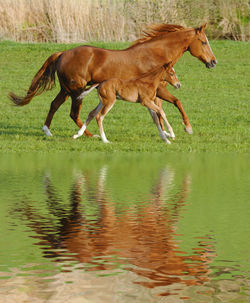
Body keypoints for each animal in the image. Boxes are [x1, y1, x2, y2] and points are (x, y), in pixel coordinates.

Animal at [9, 23, 217, 138]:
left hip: (67, 90)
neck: (154, 56)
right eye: (204, 42)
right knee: (75, 113)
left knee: (55, 105)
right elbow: (174, 103)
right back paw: (90, 135)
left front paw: (166, 132)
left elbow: (159, 111)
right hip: (76, 91)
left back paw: (48, 131)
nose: (213, 62)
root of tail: (63, 53)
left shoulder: (154, 93)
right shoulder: (158, 90)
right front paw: (186, 129)